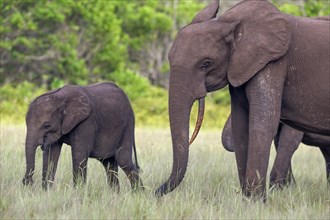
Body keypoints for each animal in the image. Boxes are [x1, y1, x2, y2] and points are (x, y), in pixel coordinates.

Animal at [155, 0, 330, 200]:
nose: (154, 191)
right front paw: (248, 200)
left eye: (206, 64)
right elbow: (241, 127)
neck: (230, 22)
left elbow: (264, 126)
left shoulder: (274, 63)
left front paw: (257, 201)